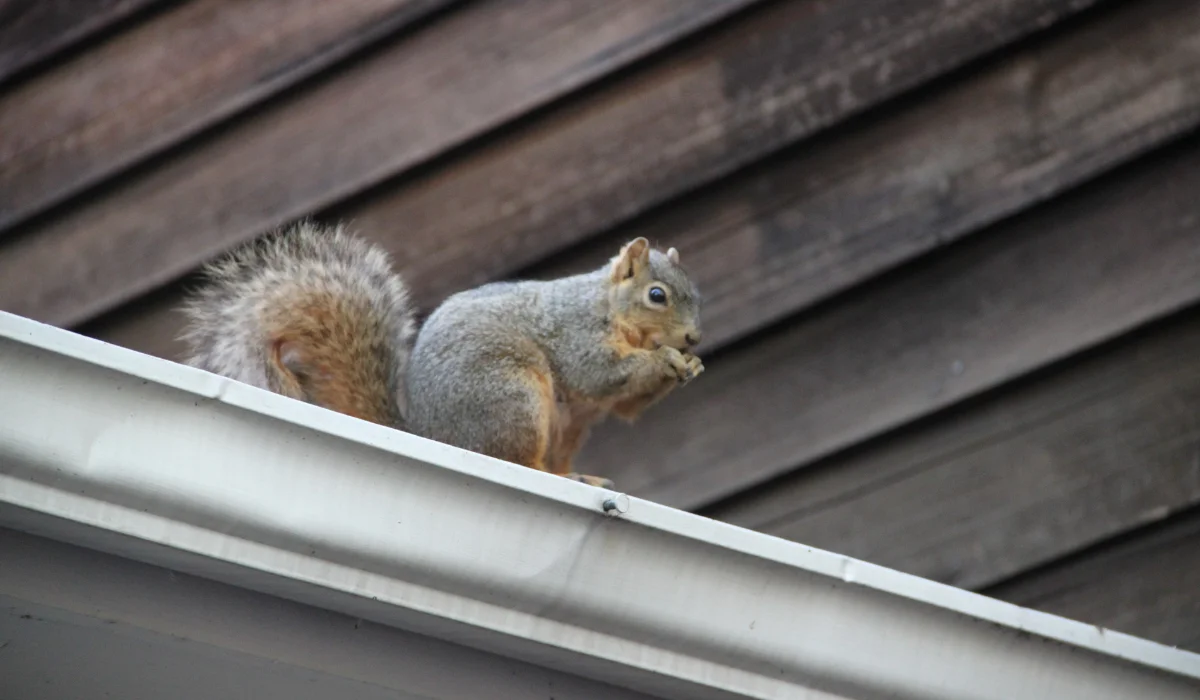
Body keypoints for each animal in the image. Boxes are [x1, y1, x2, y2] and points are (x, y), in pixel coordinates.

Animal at [179, 220, 704, 488]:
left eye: (695, 293)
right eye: (657, 295)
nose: (694, 338)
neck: (608, 308)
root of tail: (432, 435)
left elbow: (626, 405)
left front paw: (690, 367)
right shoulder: (575, 332)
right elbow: (600, 374)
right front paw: (665, 360)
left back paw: (580, 477)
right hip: (511, 397)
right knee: (515, 459)